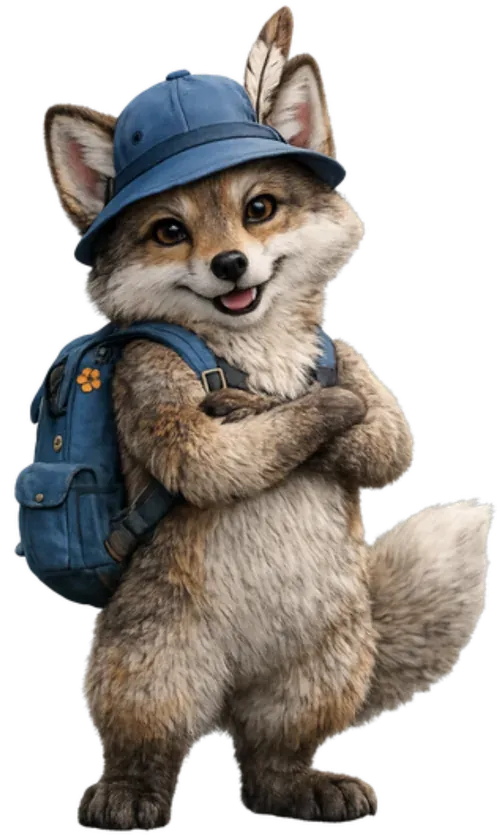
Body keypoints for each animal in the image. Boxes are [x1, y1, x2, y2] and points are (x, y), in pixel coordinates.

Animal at [41, 4, 493, 829]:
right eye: (169, 231)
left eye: (259, 209)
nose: (230, 265)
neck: (262, 352)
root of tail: (229, 696)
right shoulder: (148, 386)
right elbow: (210, 456)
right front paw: (257, 404)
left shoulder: (354, 364)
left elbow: (385, 441)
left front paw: (282, 402)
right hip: (149, 667)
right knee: (150, 745)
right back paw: (127, 794)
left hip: (318, 675)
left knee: (268, 761)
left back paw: (307, 787)